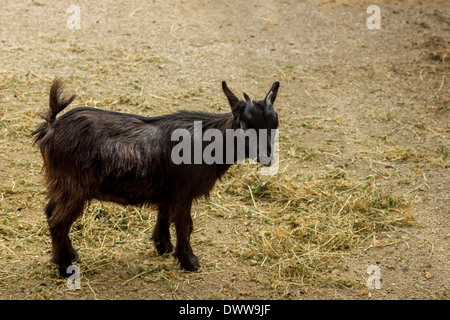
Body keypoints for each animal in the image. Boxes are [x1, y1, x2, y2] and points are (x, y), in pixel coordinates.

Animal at [32, 78, 278, 278]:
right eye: (244, 126)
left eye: (274, 124)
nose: (267, 157)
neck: (209, 142)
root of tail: (51, 126)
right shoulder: (183, 191)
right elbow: (185, 226)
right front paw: (189, 262)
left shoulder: (168, 191)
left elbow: (164, 216)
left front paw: (164, 247)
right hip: (73, 187)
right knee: (58, 221)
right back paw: (65, 268)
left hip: (59, 184)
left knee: (50, 212)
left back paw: (68, 255)